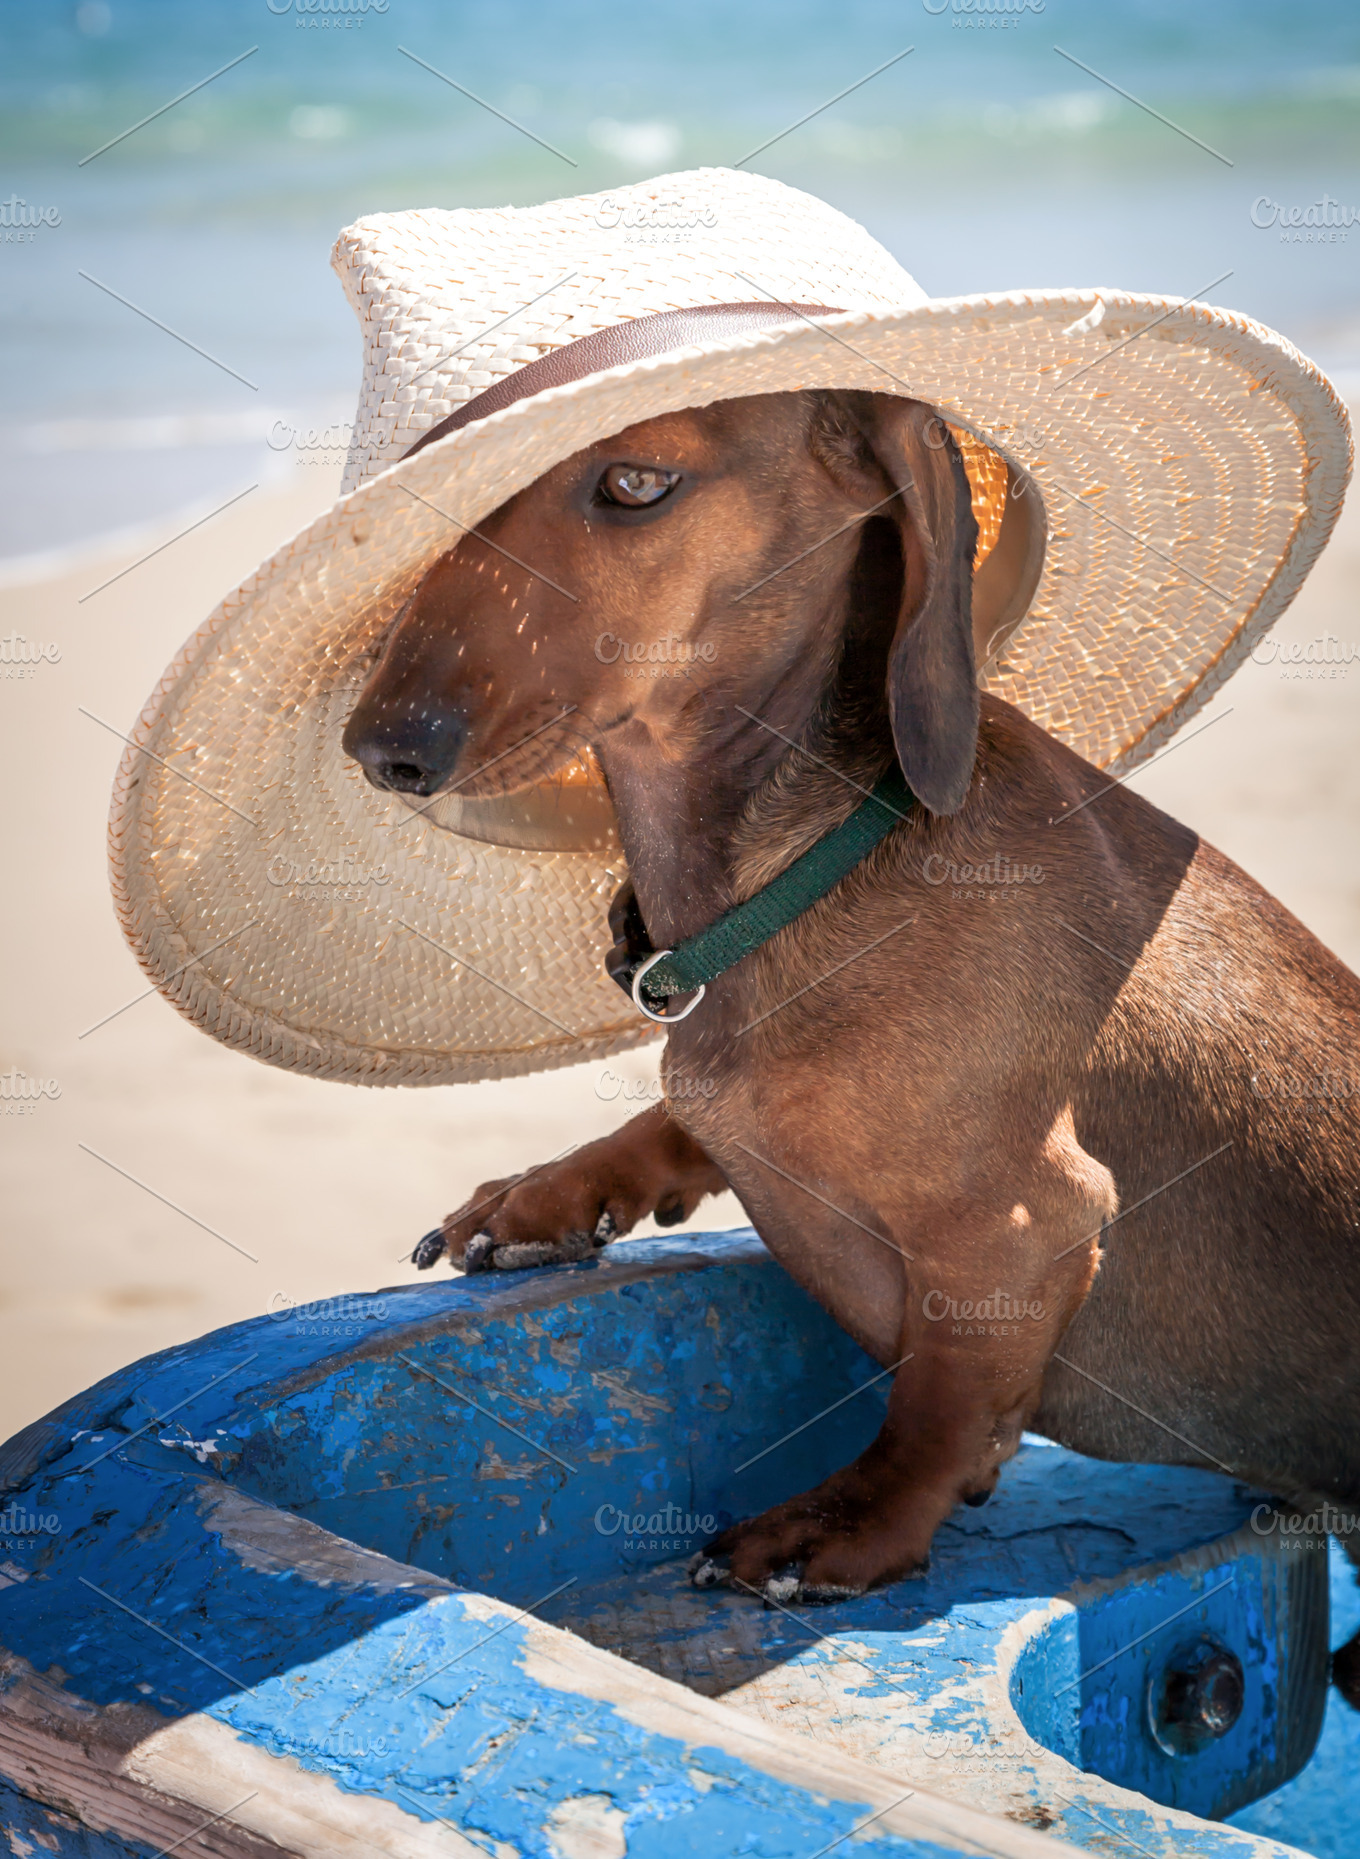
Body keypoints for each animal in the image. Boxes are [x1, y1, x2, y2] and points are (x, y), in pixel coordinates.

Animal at [341, 392, 1360, 1628]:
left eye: (635, 484)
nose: (382, 749)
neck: (805, 864)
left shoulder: (1022, 1224)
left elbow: (938, 1403)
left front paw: (851, 1517)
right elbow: (673, 1121)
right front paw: (548, 1191)